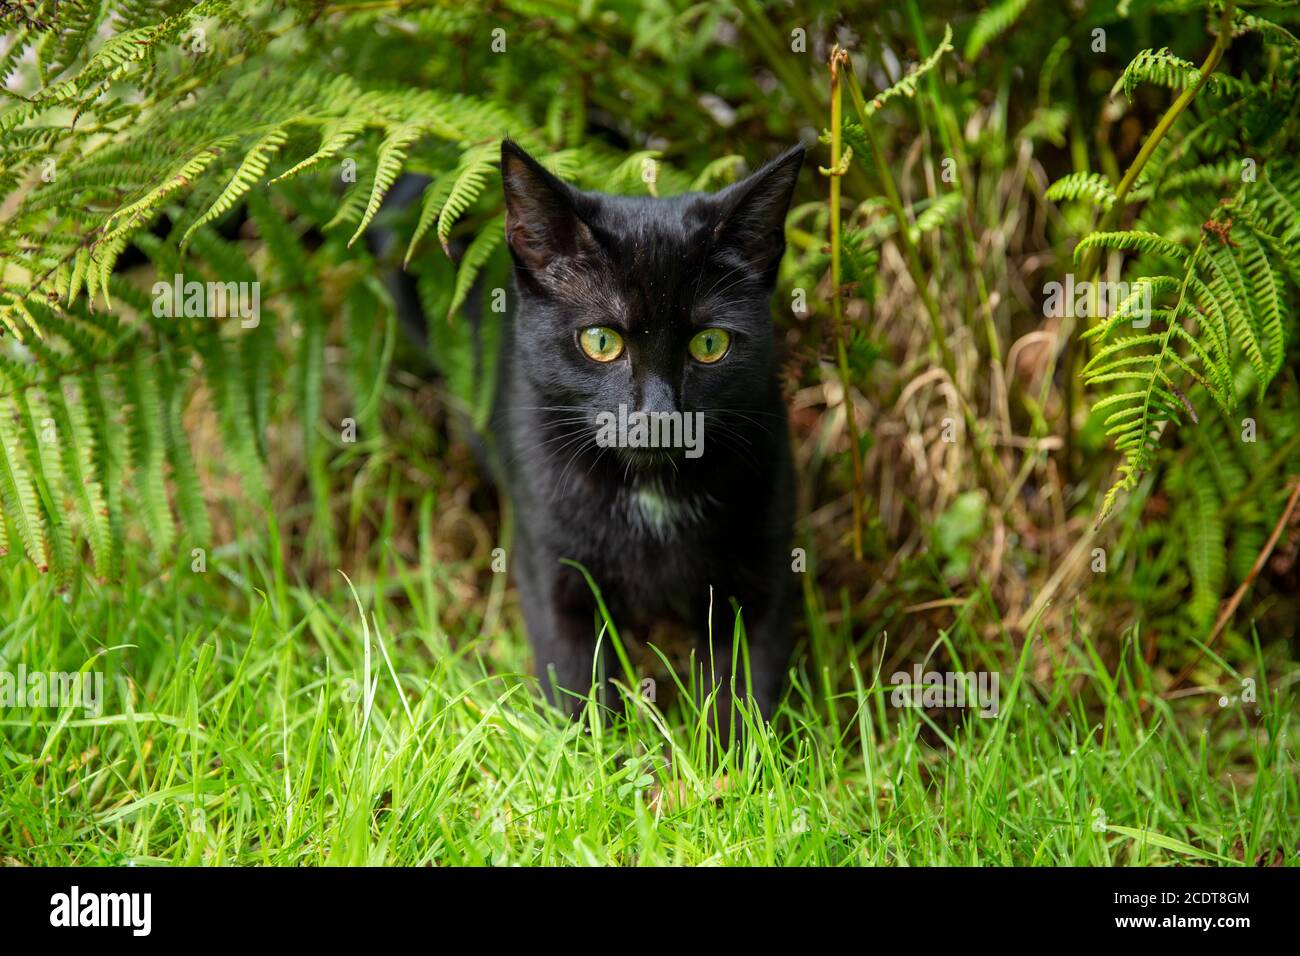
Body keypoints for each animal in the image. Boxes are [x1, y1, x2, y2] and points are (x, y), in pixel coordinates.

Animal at [496, 140, 800, 723]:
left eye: (709, 344)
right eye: (600, 341)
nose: (659, 416)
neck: (650, 492)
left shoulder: (763, 568)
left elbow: (742, 687)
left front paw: (732, 748)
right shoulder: (553, 566)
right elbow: (576, 682)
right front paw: (588, 745)